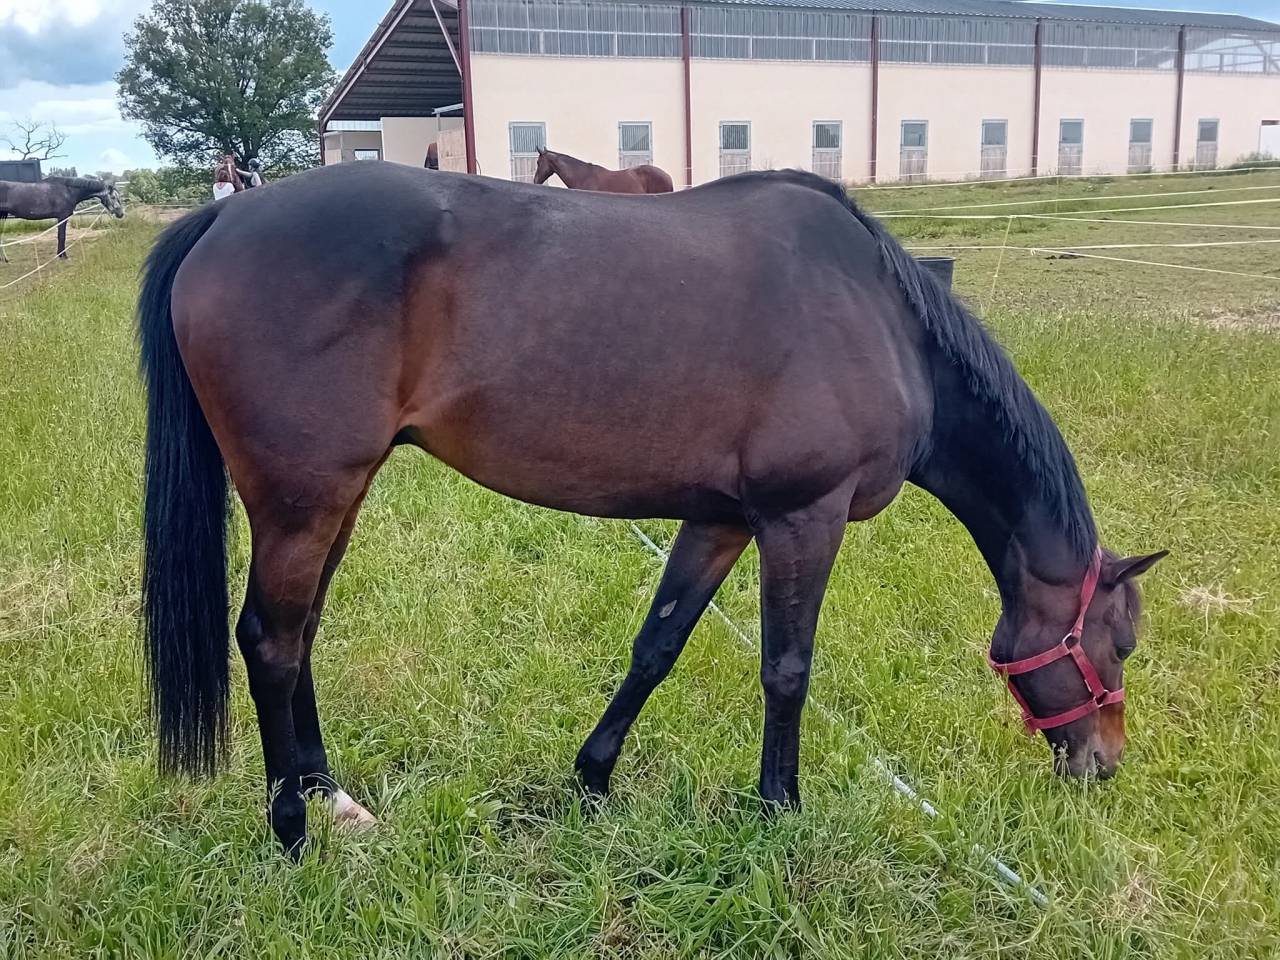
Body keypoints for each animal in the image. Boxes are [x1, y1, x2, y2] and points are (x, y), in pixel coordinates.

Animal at [137, 161, 1165, 855]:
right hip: (302, 501)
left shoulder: (724, 518)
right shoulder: (805, 516)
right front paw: (779, 811)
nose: (1103, 764)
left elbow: (659, 643)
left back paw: (328, 794)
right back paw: (291, 829)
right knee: (270, 642)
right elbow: (787, 669)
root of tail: (226, 213)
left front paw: (593, 780)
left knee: (301, 630)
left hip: (333, 500)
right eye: (1118, 644)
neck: (880, 319)